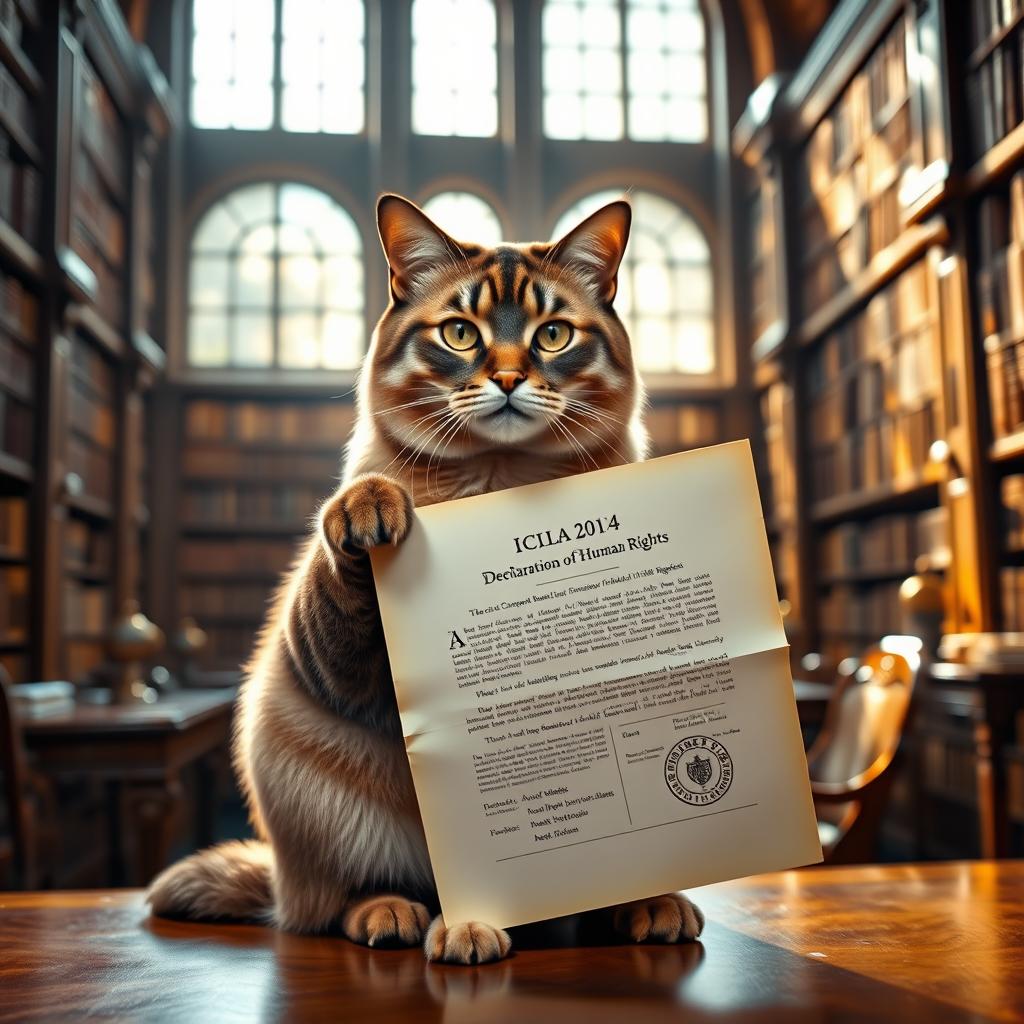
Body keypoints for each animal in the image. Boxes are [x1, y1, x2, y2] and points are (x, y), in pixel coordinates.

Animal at [146, 193, 704, 966]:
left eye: (554, 334)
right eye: (460, 334)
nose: (508, 378)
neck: (501, 479)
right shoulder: (328, 663)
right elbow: (337, 583)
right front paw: (368, 507)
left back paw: (642, 902)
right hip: (298, 764)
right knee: (339, 902)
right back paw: (418, 918)